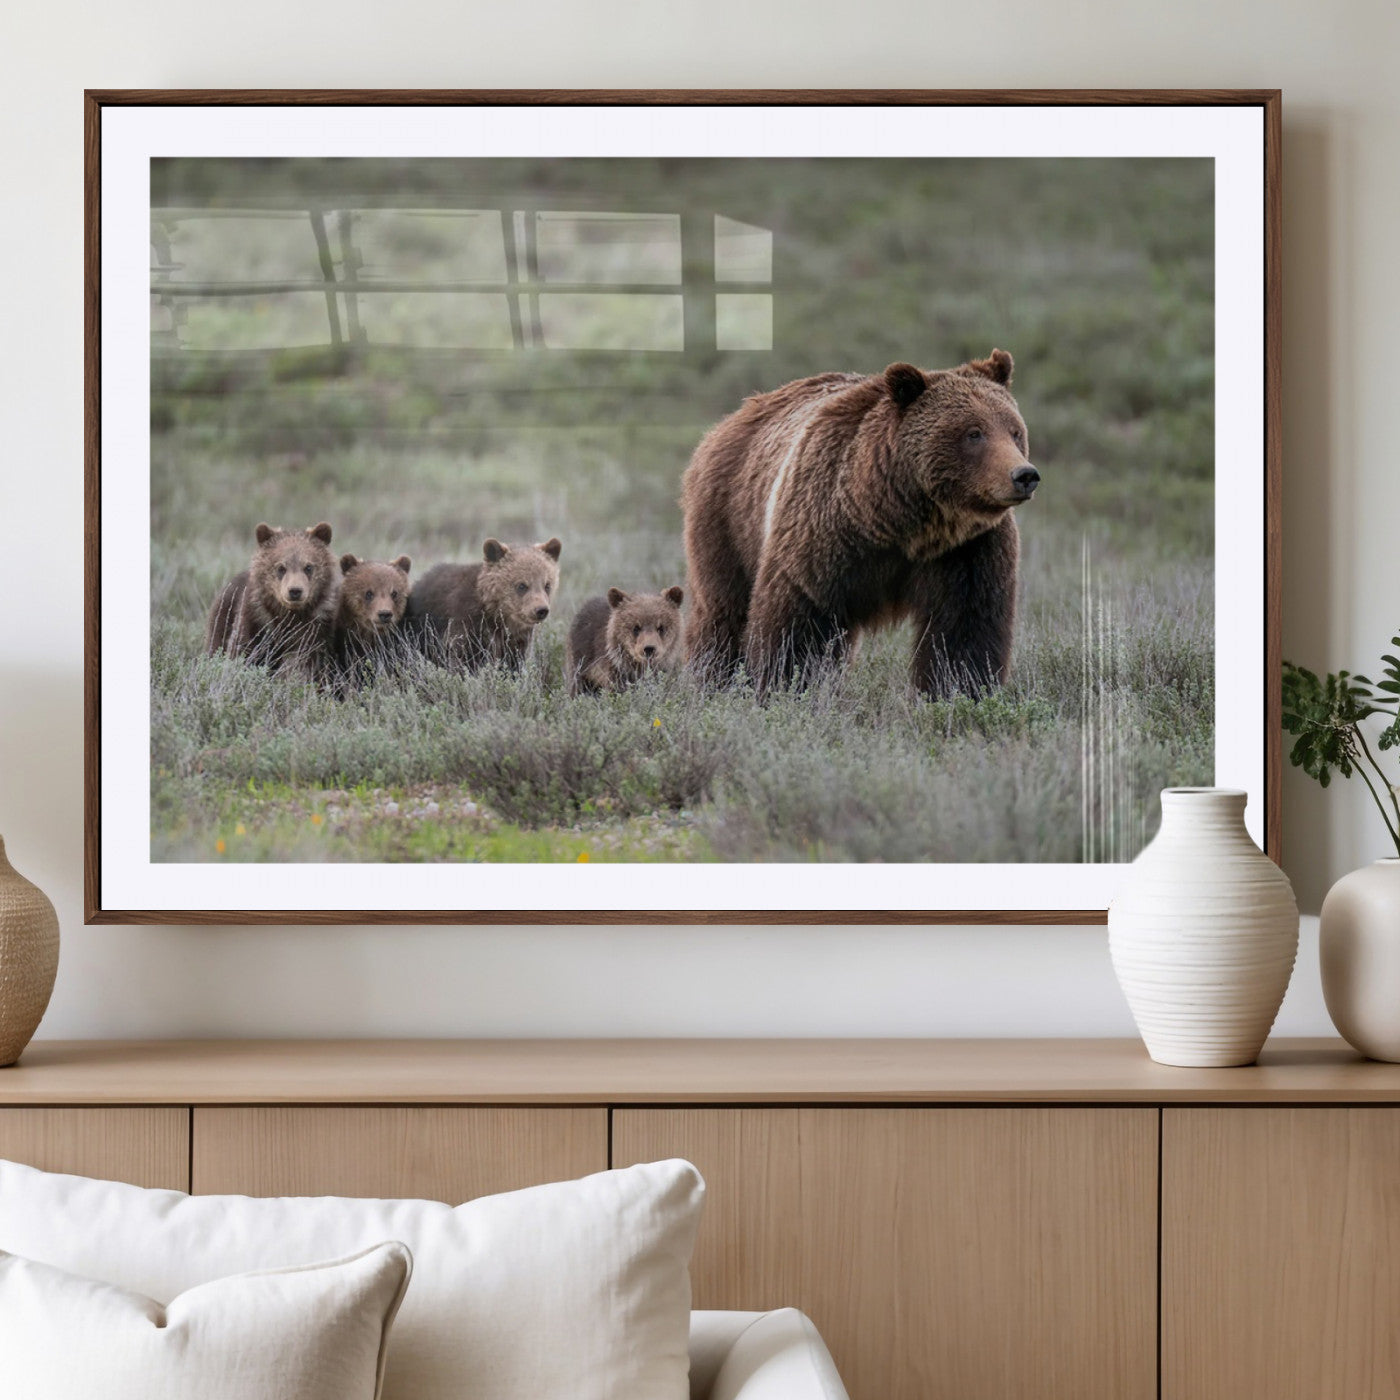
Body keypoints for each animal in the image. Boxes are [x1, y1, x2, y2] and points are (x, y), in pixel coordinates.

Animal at [205, 521, 339, 679]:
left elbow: (306, 660)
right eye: (281, 567)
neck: (289, 614)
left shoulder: (315, 626)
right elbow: (242, 650)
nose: (295, 591)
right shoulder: (256, 619)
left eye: (308, 567)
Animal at [406, 537, 562, 671]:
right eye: (522, 585)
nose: (541, 610)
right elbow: (461, 658)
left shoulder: (517, 639)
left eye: (547, 585)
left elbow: (514, 663)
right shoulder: (466, 624)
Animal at [680, 350, 1039, 697]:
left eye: (1014, 431)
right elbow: (797, 621)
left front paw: (959, 691)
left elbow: (965, 629)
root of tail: (731, 419)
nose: (1024, 475)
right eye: (974, 433)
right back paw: (712, 678)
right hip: (729, 518)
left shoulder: (966, 549)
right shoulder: (823, 534)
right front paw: (784, 687)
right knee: (723, 610)